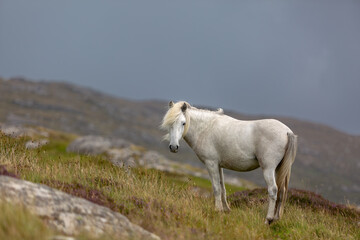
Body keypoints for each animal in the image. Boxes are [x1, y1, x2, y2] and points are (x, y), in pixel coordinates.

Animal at [162, 100, 296, 224]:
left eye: (183, 123)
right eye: (169, 124)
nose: (173, 147)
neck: (206, 128)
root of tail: (287, 131)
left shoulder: (211, 164)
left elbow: (216, 188)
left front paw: (217, 210)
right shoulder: (219, 166)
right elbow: (222, 188)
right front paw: (226, 210)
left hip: (268, 169)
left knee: (273, 190)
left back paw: (268, 219)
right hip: (280, 169)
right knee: (282, 191)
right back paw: (277, 218)